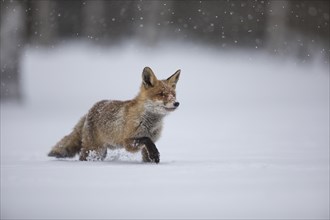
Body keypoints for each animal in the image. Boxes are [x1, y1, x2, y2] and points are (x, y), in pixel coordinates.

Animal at [48, 67, 180, 163]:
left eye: (173, 94)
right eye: (161, 94)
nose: (176, 103)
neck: (148, 122)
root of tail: (91, 109)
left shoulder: (147, 144)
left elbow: (148, 150)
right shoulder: (128, 142)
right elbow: (146, 140)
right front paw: (155, 154)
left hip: (100, 152)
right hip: (94, 150)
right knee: (83, 158)